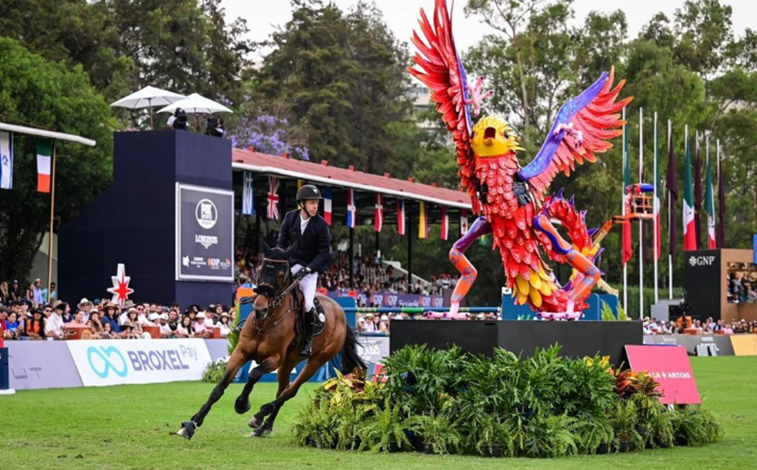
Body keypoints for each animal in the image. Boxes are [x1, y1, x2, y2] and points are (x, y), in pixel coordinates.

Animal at [177, 242, 366, 440]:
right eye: (260, 270)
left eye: (281, 275)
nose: (259, 308)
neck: (265, 322)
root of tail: (342, 315)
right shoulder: (241, 352)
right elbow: (219, 388)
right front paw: (192, 424)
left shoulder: (274, 358)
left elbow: (254, 374)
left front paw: (242, 404)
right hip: (289, 361)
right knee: (282, 390)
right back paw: (263, 426)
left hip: (316, 361)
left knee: (290, 391)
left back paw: (259, 416)